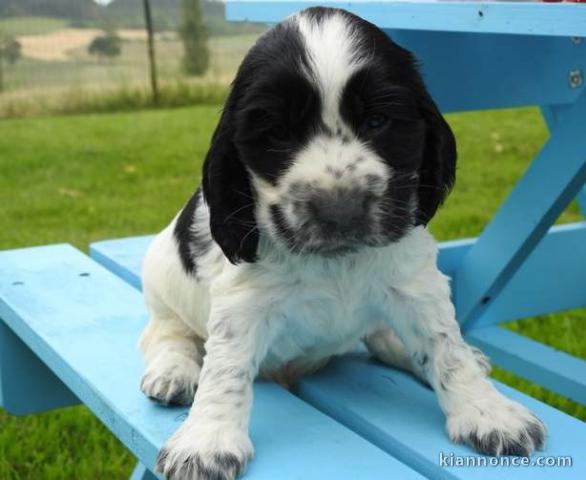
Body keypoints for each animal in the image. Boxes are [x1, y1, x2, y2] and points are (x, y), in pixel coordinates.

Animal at [140, 7, 544, 480]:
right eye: (277, 133)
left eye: (377, 122)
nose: (340, 210)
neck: (337, 262)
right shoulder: (243, 302)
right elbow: (226, 368)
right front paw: (206, 442)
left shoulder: (415, 284)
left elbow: (445, 347)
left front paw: (489, 413)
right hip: (160, 285)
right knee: (167, 335)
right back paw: (173, 372)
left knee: (387, 339)